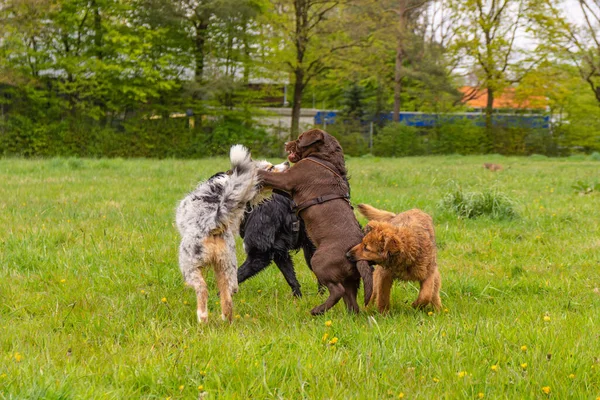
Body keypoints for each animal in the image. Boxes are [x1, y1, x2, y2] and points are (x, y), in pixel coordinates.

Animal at [176, 145, 288, 324]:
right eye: (271, 167)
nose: (287, 163)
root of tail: (212, 222)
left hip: (190, 266)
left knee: (202, 289)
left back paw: (202, 317)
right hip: (227, 266)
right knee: (228, 295)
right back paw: (225, 320)